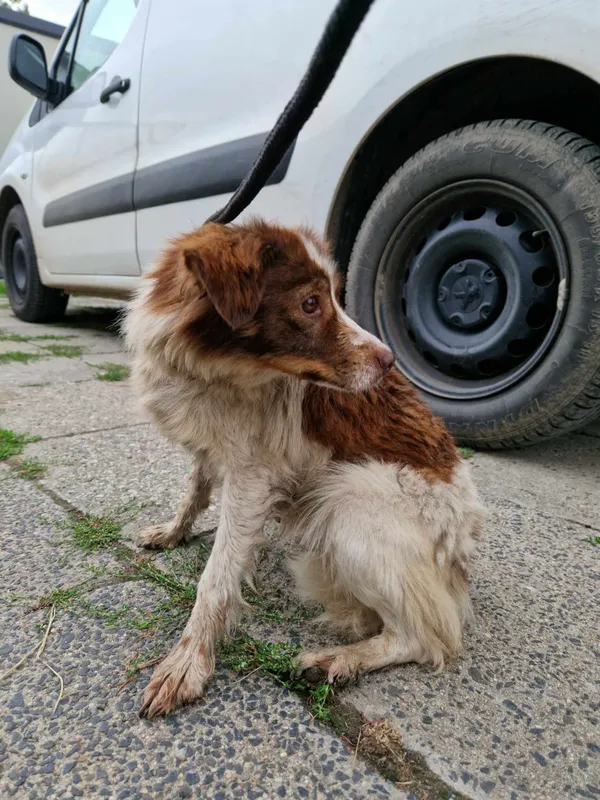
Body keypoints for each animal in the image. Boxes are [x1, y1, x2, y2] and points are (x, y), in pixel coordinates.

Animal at [123, 219, 482, 720]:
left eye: (333, 297)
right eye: (311, 303)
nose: (390, 360)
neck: (215, 371)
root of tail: (461, 550)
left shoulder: (252, 476)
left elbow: (215, 579)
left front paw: (187, 662)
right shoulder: (215, 445)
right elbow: (194, 490)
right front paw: (173, 532)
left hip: (351, 506)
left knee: (425, 638)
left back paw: (340, 660)